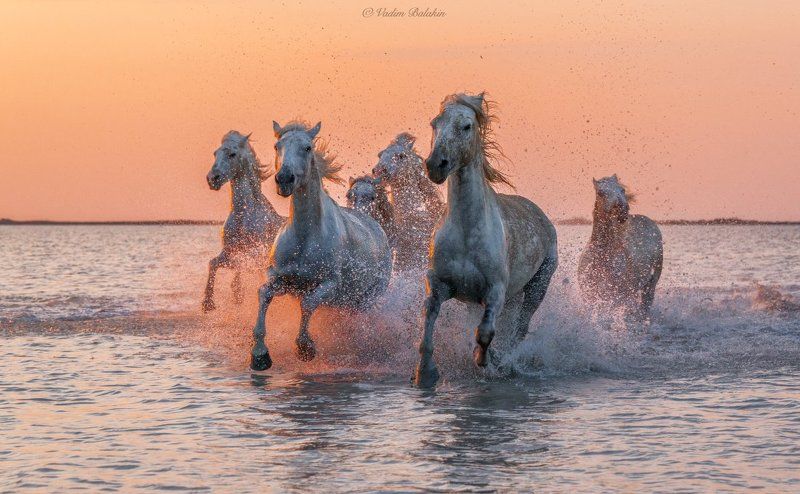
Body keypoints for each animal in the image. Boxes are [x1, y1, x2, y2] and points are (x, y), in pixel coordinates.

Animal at [203, 131, 284, 312]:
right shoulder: (229, 250)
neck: (243, 214)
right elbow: (213, 263)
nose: (212, 179)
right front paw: (208, 303)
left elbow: (240, 265)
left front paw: (237, 291)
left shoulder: (257, 253)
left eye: (232, 154)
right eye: (215, 153)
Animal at [249, 121, 393, 370]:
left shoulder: (329, 284)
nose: (284, 179)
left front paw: (305, 348)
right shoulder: (282, 279)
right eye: (277, 146)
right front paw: (259, 355)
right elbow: (264, 293)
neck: (304, 239)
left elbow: (308, 304)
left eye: (307, 148)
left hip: (367, 298)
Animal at [413, 93, 558, 386]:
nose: (435, 165)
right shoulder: (440, 284)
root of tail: (542, 217)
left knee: (520, 328)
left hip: (537, 286)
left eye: (467, 126)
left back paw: (505, 362)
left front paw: (484, 361)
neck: (467, 233)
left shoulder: (495, 291)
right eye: (435, 123)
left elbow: (485, 332)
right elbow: (428, 320)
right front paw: (425, 372)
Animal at [577, 175, 663, 321]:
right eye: (600, 192)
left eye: (622, 190)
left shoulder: (616, 297)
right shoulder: (590, 295)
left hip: (651, 283)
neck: (603, 256)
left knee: (645, 306)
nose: (622, 209)